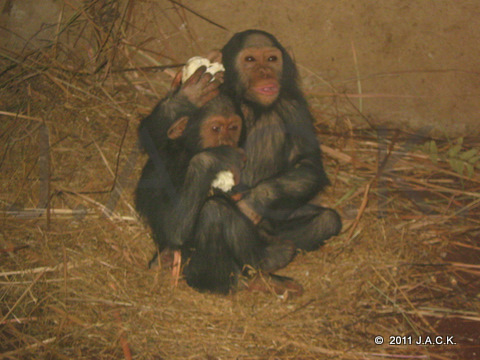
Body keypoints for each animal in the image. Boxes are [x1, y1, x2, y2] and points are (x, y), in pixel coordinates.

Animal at [136, 91, 296, 294]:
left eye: (233, 127)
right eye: (215, 128)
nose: (227, 142)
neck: (187, 151)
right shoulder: (162, 167)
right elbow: (172, 229)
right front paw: (216, 157)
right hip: (204, 277)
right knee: (214, 211)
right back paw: (268, 260)